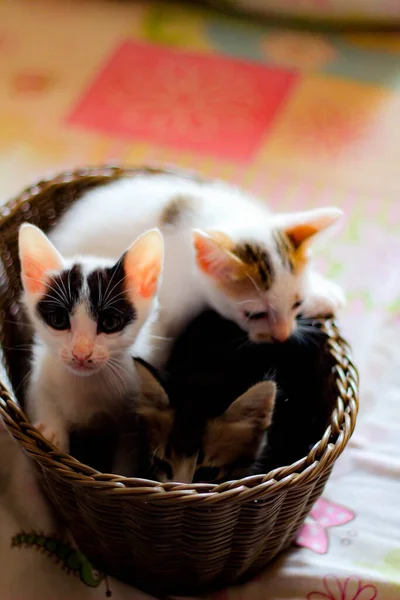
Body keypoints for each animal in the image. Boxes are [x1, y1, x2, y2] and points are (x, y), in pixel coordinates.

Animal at [18, 223, 164, 452]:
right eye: (58, 320)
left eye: (110, 323)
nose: (81, 353)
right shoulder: (39, 371)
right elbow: (43, 395)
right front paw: (51, 432)